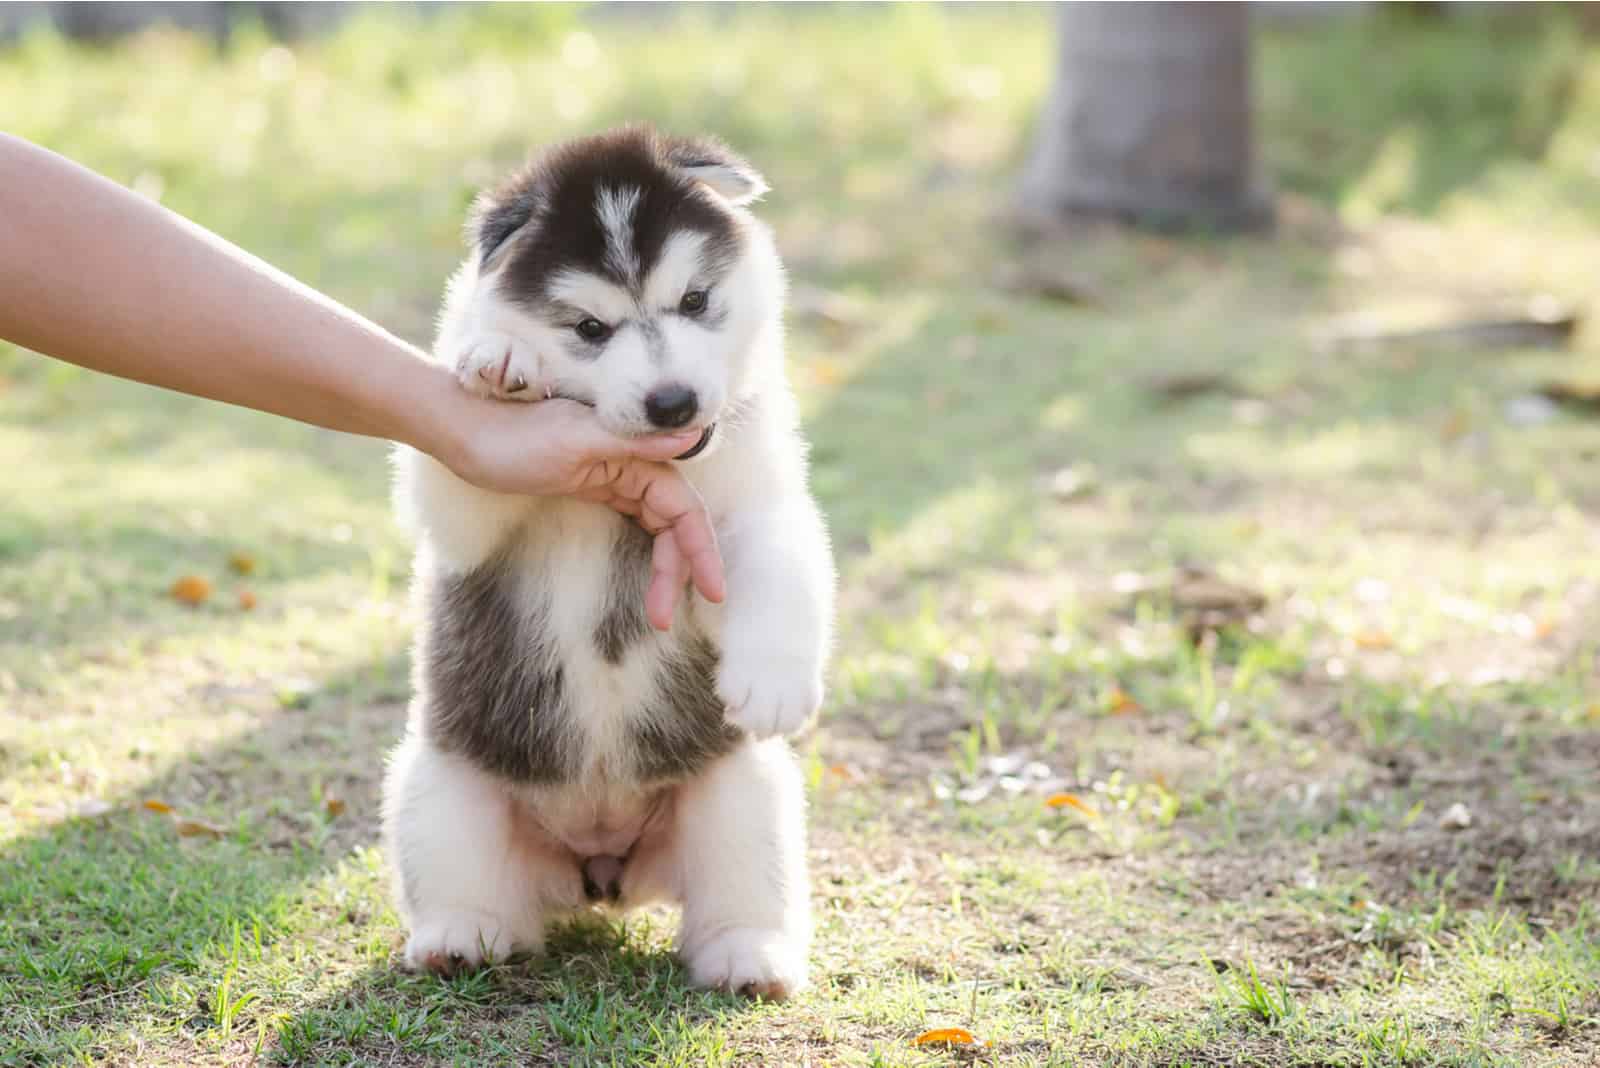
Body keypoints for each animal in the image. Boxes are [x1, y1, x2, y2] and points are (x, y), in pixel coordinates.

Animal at [384, 127, 838, 1004]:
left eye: (695, 301)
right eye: (590, 327)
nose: (674, 404)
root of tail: (601, 865)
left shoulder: (751, 505)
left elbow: (779, 565)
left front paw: (773, 679)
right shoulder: (467, 517)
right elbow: (460, 481)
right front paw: (502, 353)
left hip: (743, 790)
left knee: (739, 885)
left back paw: (749, 955)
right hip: (436, 786)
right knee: (472, 886)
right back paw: (459, 936)